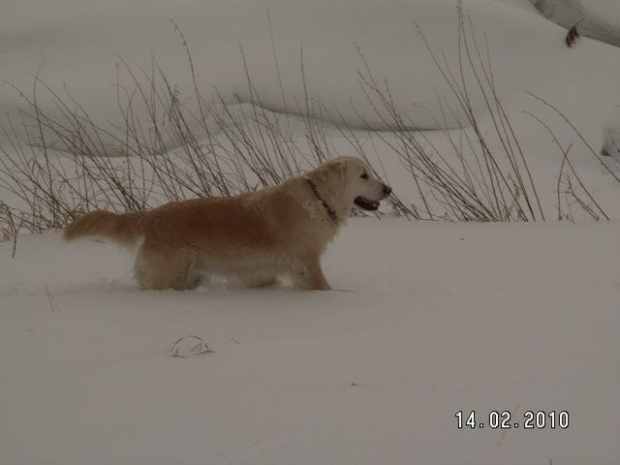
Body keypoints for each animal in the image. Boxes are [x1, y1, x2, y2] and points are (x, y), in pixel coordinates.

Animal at [64, 155, 392, 290]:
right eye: (363, 175)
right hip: (171, 273)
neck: (318, 198)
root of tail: (152, 215)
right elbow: (323, 287)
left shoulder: (263, 270)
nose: (389, 189)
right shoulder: (306, 261)